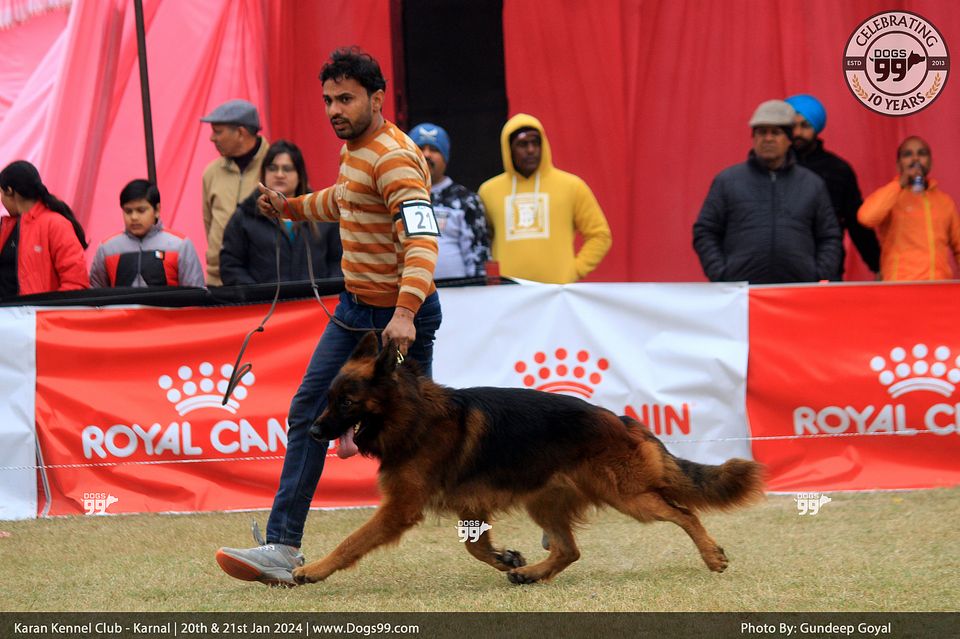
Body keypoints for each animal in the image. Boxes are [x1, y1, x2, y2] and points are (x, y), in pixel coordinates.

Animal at [294, 331, 764, 585]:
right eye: (329, 399)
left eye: (346, 402)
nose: (313, 432)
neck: (412, 414)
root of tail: (620, 419)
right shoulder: (470, 505)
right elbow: (476, 547)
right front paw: (507, 559)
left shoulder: (400, 508)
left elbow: (352, 541)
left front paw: (314, 570)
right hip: (545, 499)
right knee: (570, 550)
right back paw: (532, 573)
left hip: (628, 497)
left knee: (684, 513)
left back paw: (713, 556)